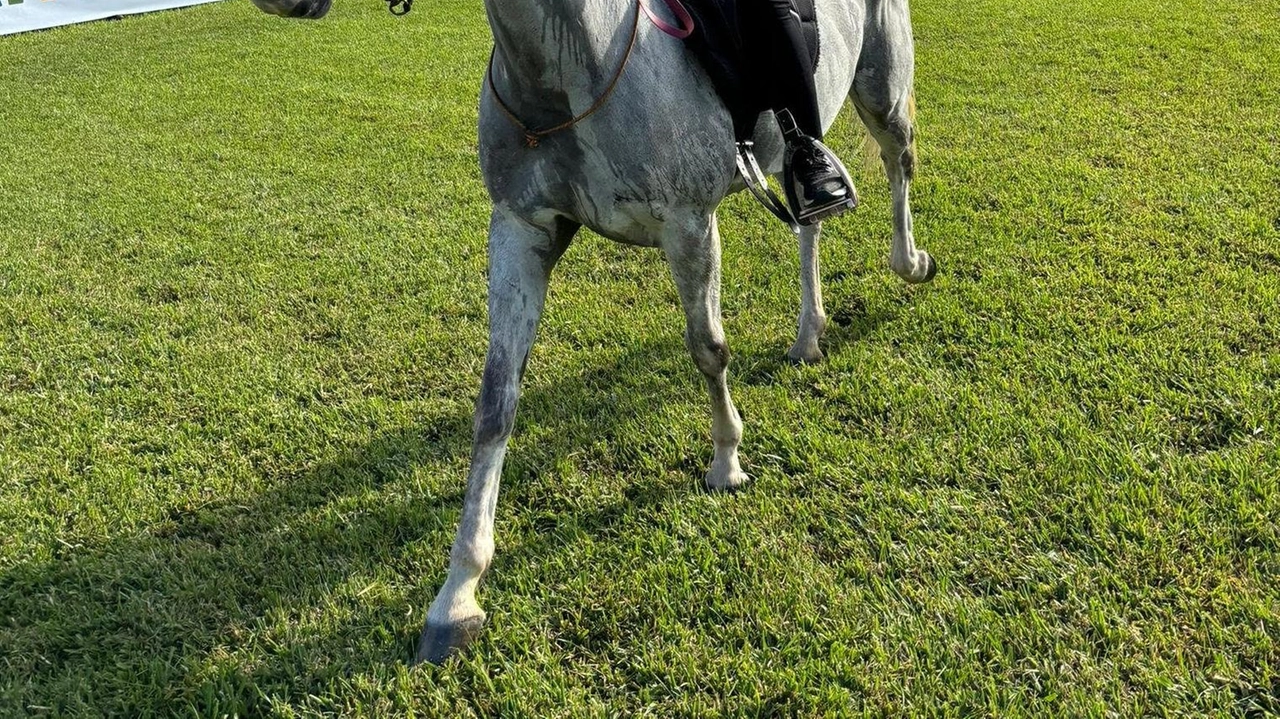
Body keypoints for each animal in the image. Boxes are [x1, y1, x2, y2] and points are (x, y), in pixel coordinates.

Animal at [247, 0, 931, 665]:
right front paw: (456, 597)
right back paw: (808, 333)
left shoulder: (688, 225)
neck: (573, 65)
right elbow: (495, 407)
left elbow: (708, 350)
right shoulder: (520, 230)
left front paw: (726, 462)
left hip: (882, 91)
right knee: (809, 223)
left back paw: (911, 262)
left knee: (896, 164)